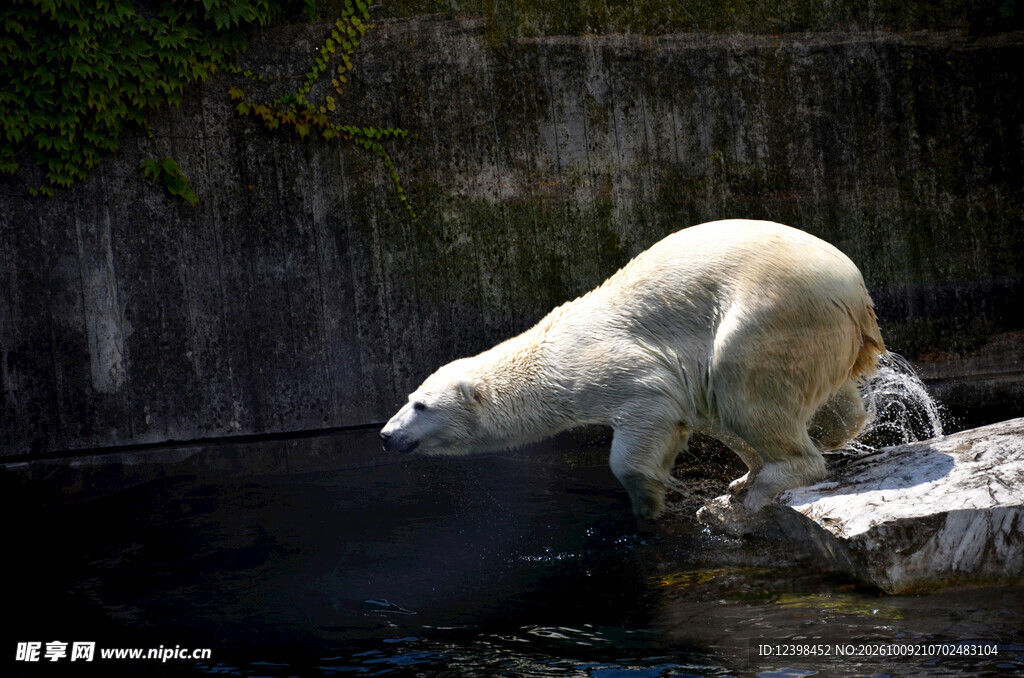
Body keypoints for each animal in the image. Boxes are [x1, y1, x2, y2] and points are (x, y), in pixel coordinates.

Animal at [380, 219, 885, 517]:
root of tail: (855, 289)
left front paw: (649, 503)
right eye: (408, 398)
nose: (386, 435)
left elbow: (649, 416)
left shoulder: (614, 369)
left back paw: (760, 490)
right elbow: (698, 411)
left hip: (773, 315)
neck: (549, 351)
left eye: (421, 405)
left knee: (743, 386)